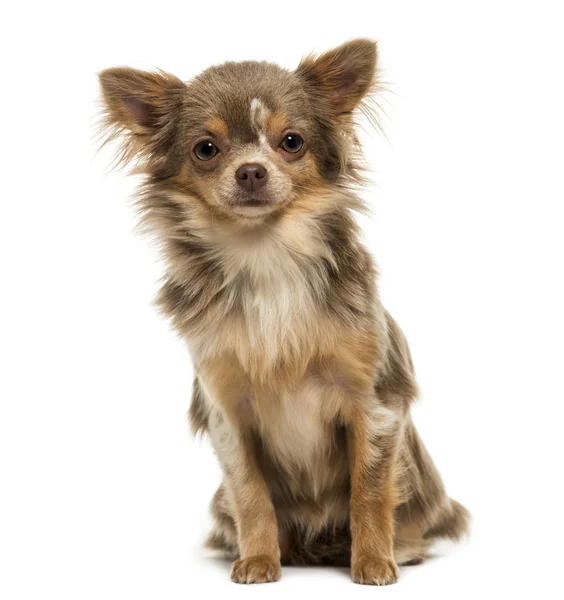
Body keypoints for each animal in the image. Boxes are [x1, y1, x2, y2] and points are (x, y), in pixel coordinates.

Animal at [99, 38, 470, 584]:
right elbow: (251, 494)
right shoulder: (228, 411)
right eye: (206, 149)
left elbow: (369, 489)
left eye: (291, 142)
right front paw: (258, 560)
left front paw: (373, 562)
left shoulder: (373, 404)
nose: (252, 170)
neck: (264, 256)